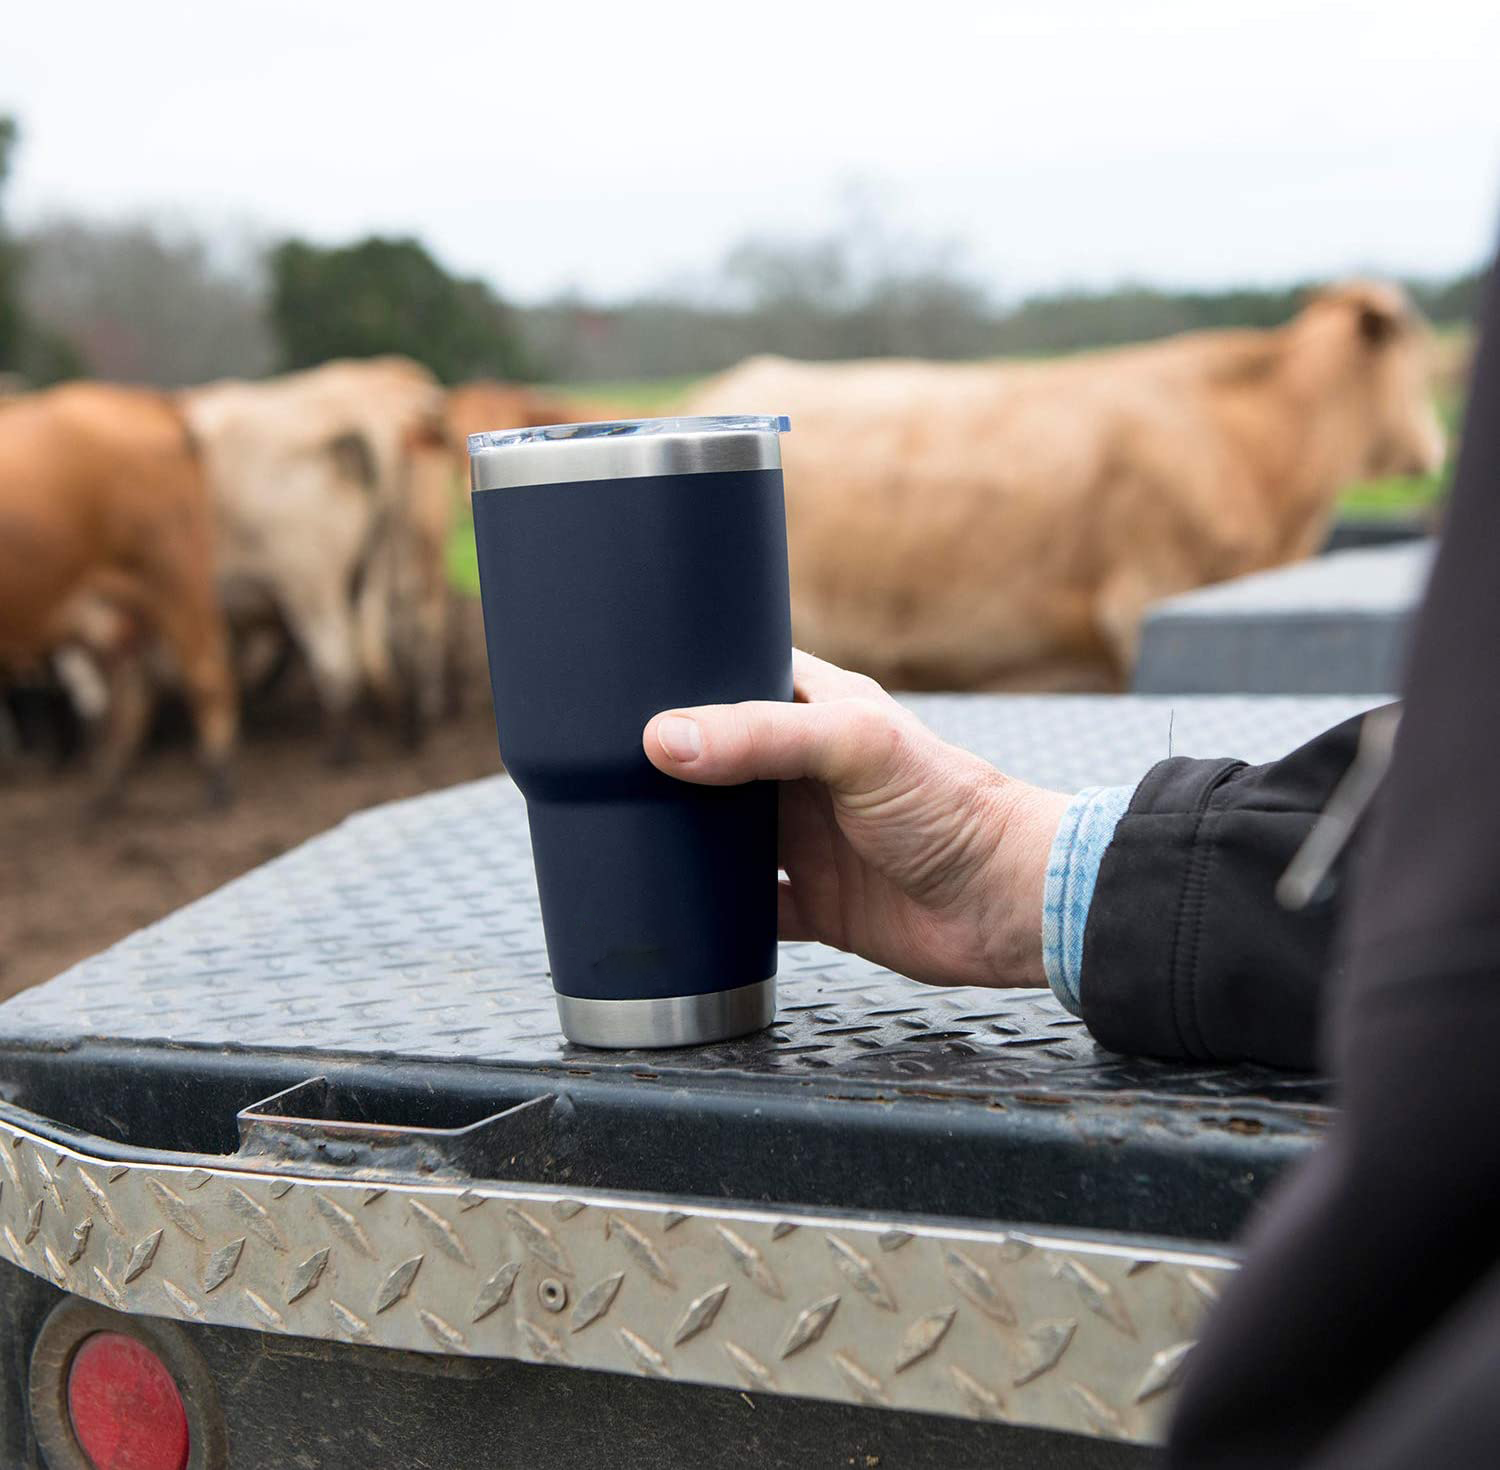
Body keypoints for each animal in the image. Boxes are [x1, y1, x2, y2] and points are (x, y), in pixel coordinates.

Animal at [0, 384, 237, 798]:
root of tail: (157, 405)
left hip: (173, 573)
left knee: (204, 670)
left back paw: (216, 777)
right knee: (130, 695)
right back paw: (108, 786)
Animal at [183, 355, 450, 759]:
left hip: (311, 583)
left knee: (337, 655)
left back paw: (342, 748)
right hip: (378, 566)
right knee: (393, 636)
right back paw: (407, 722)